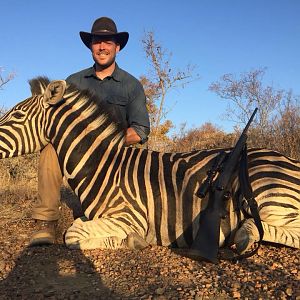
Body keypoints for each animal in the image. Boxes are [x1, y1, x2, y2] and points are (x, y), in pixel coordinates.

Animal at [0, 76, 298, 254]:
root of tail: (289, 160)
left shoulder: (128, 216)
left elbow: (73, 236)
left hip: (269, 196)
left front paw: (131, 240)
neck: (103, 167)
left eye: (17, 115)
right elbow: (77, 226)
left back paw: (245, 234)